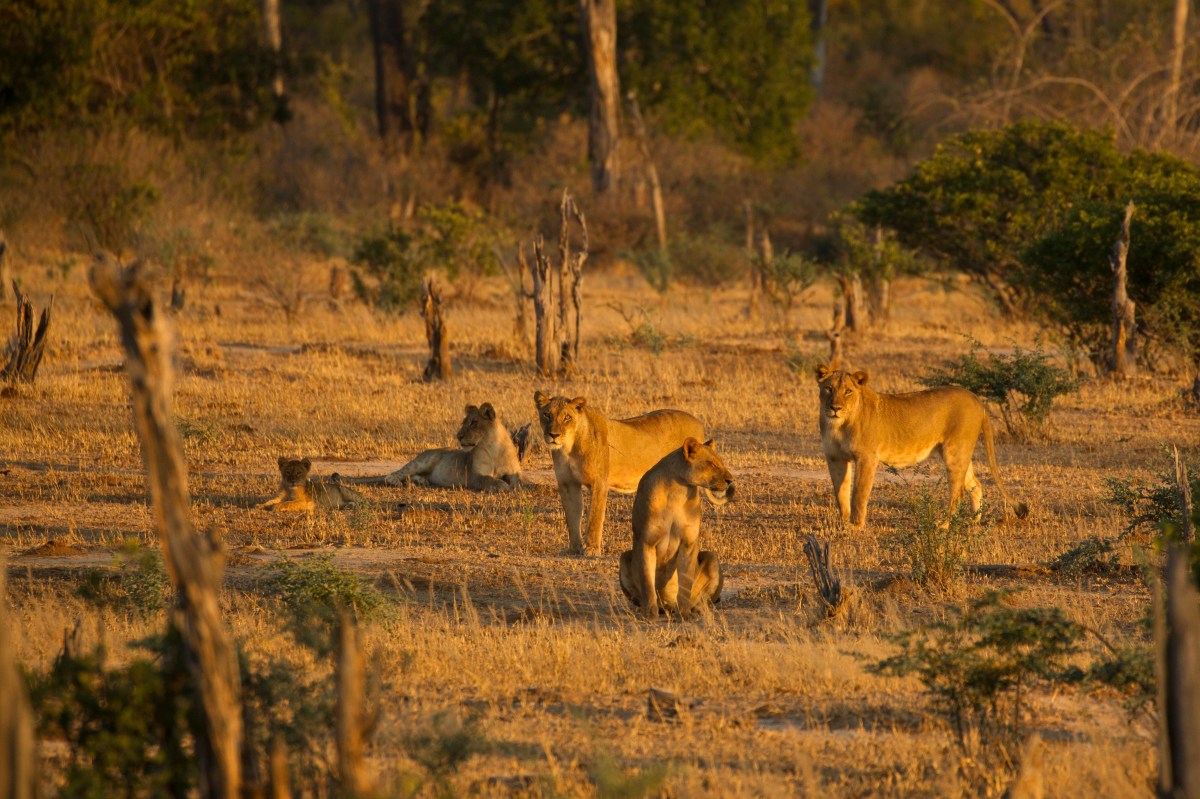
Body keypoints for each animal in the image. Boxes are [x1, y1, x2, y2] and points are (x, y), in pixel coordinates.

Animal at [343, 403, 525, 492]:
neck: (494, 447)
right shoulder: (475, 475)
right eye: (464, 422)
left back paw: (422, 481)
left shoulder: (513, 471)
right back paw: (397, 482)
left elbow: (520, 480)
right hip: (423, 461)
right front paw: (502, 485)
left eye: (474, 423)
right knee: (395, 474)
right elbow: (488, 479)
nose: (458, 436)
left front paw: (522, 485)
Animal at [534, 391, 706, 556]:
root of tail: (698, 422)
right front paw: (574, 549)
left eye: (567, 418)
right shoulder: (568, 483)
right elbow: (572, 517)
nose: (553, 435)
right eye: (547, 415)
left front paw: (592, 549)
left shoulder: (599, 483)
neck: (568, 447)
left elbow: (595, 518)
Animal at [618, 438, 733, 618]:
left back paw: (697, 609)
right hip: (623, 557)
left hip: (712, 556)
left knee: (703, 598)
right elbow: (647, 582)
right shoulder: (646, 541)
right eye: (711, 464)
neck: (677, 490)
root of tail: (668, 606)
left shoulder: (688, 543)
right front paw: (649, 614)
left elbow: (685, 584)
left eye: (720, 463)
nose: (731, 480)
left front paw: (685, 614)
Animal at [815, 364, 1028, 527]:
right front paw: (843, 523)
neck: (838, 425)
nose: (835, 408)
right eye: (829, 389)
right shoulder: (835, 458)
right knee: (975, 485)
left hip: (954, 451)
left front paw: (856, 525)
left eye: (848, 391)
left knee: (958, 492)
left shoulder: (867, 458)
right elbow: (841, 493)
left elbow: (859, 493)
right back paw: (973, 522)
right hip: (960, 452)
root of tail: (977, 400)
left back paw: (944, 525)